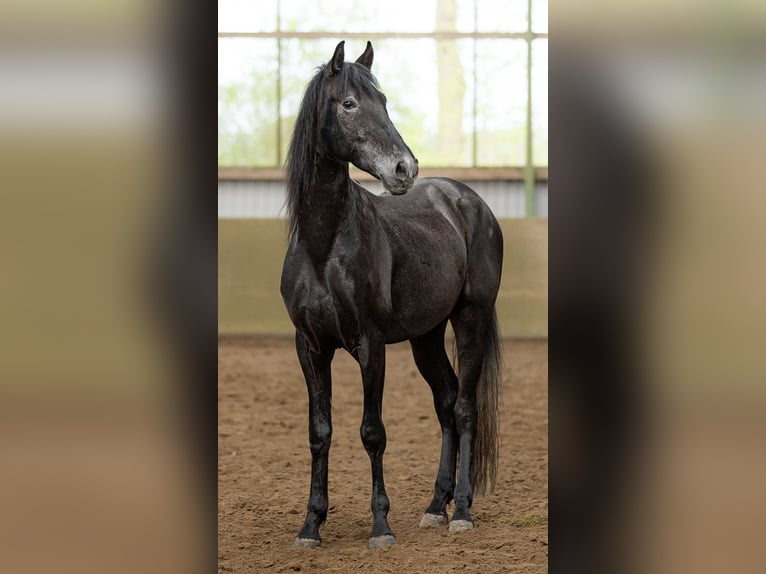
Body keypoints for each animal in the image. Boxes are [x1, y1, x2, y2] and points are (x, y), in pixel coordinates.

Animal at [280, 40, 504, 548]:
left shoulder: (371, 346)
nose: (405, 168)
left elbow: (372, 432)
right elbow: (319, 432)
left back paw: (461, 511)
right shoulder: (310, 347)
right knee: (445, 404)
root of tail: (469, 201)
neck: (325, 246)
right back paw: (435, 506)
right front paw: (310, 525)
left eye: (382, 101)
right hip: (426, 337)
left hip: (471, 319)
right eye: (348, 103)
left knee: (464, 408)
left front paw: (380, 526)